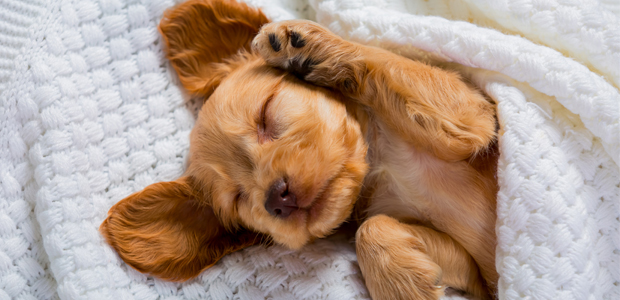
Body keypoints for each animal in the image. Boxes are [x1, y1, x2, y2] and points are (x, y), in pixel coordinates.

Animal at [100, 0, 498, 298]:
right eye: (238, 199)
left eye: (266, 115)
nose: (278, 198)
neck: (381, 165)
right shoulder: (478, 281)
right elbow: (372, 228)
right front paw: (406, 282)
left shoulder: (473, 114)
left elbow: (381, 59)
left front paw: (307, 47)